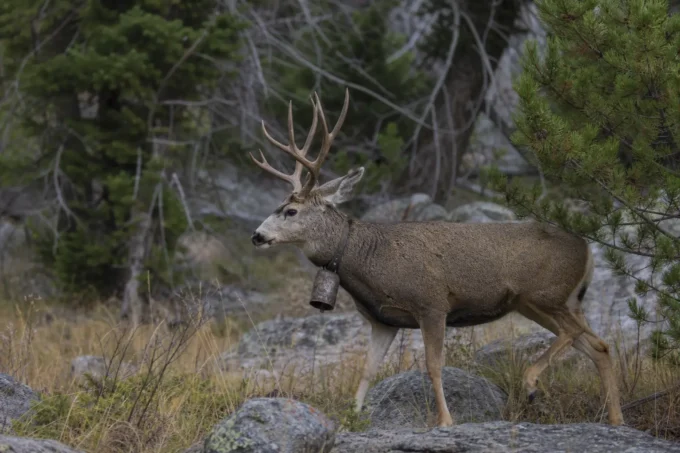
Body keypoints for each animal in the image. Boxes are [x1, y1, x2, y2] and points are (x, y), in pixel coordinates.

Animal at [248, 88, 625, 427]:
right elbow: (368, 370)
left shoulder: (431, 302)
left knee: (575, 334)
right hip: (545, 302)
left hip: (545, 293)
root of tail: (588, 249)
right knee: (599, 345)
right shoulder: (383, 320)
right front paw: (348, 419)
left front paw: (445, 420)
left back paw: (532, 383)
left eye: (291, 211)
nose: (257, 235)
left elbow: (432, 365)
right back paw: (615, 419)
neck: (369, 259)